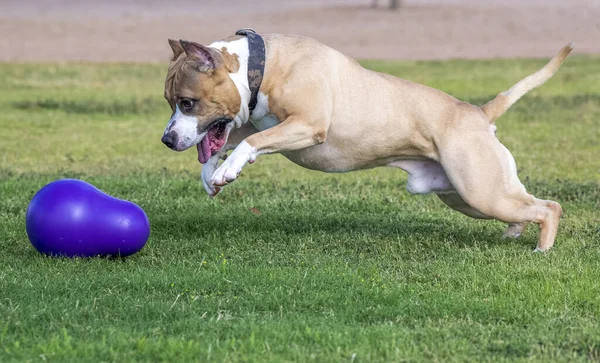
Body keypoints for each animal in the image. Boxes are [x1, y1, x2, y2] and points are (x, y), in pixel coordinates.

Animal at [162, 29, 576, 252]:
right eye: (169, 102)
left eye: (188, 102)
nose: (167, 139)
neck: (260, 66)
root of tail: (478, 112)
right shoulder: (249, 122)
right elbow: (229, 141)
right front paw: (211, 173)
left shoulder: (307, 125)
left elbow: (252, 142)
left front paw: (226, 171)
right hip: (468, 196)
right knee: (526, 205)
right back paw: (515, 232)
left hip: (479, 190)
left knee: (549, 207)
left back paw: (541, 249)